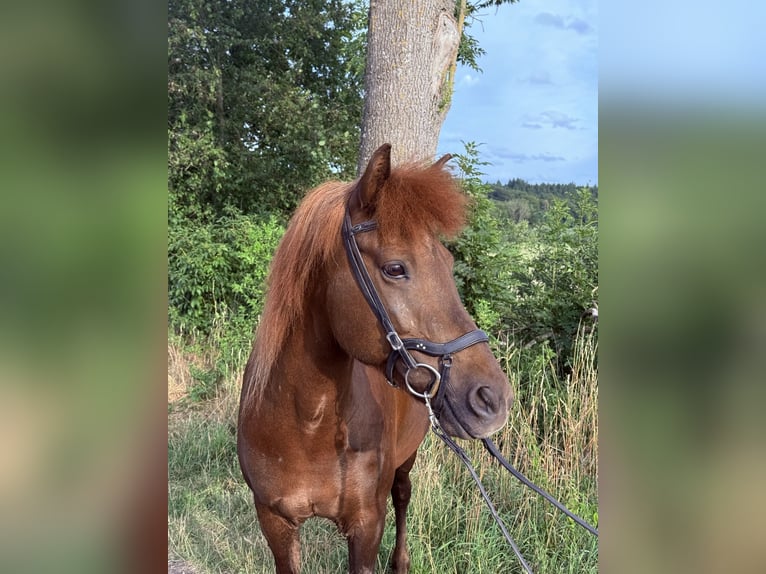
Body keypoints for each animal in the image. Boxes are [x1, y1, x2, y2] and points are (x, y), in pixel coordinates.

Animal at [237, 144, 513, 573]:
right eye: (395, 268)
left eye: (449, 263)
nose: (493, 399)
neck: (306, 420)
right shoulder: (275, 524)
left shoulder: (367, 527)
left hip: (406, 461)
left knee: (403, 495)